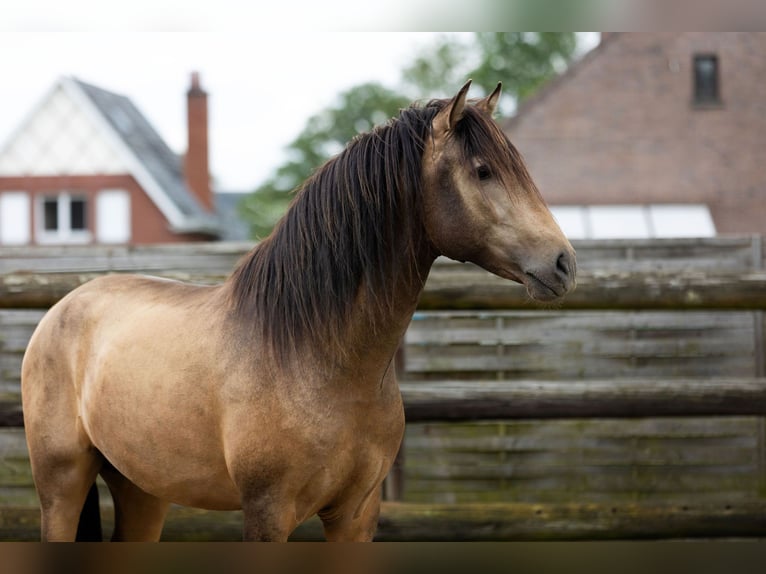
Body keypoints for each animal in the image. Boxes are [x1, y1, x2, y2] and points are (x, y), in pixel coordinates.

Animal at [19, 82, 576, 544]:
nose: (564, 263)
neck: (318, 357)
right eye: (483, 171)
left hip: (142, 489)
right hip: (62, 486)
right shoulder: (268, 514)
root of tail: (62, 309)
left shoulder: (356, 515)